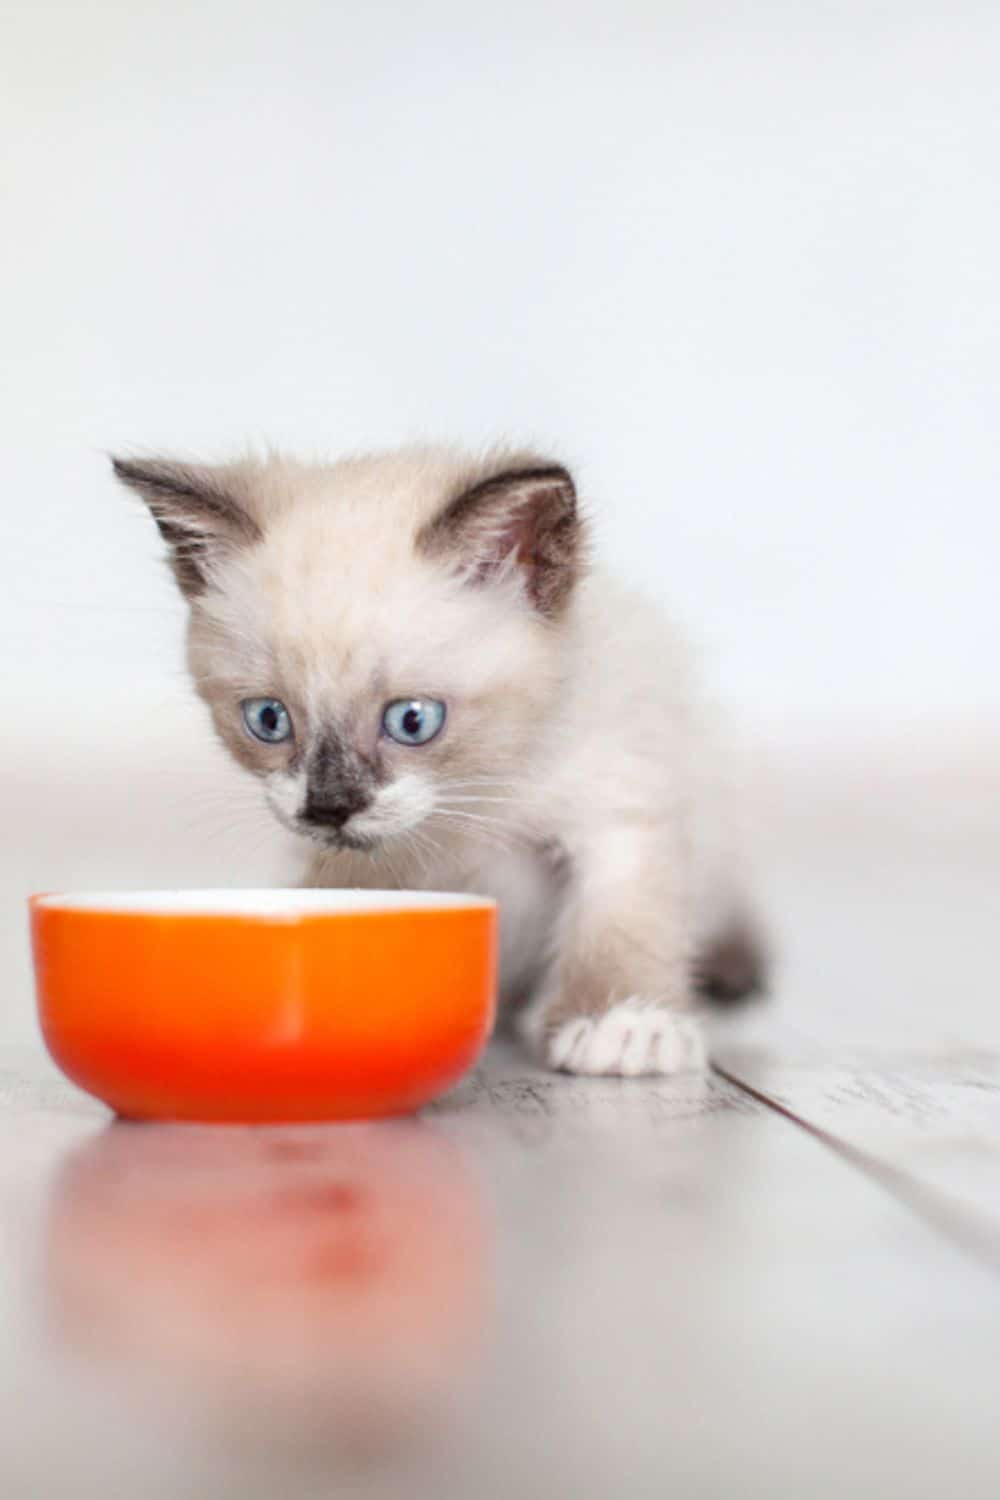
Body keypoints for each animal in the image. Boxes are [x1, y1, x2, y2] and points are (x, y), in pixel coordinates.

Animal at [111, 447, 767, 1080]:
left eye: (412, 720)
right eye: (269, 719)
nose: (329, 808)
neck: (478, 795)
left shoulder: (619, 809)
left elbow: (622, 922)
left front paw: (622, 1023)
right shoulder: (357, 865)